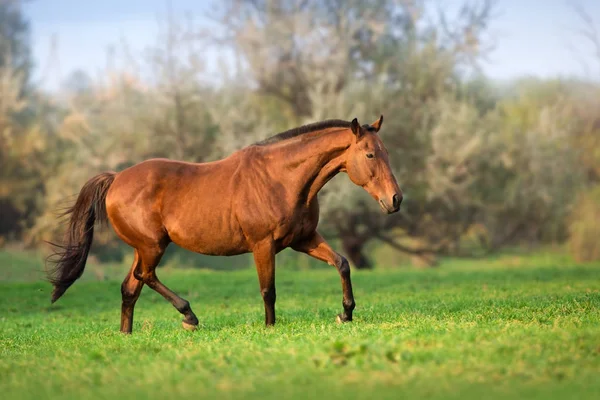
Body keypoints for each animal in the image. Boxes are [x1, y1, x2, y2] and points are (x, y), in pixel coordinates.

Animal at [48, 116, 404, 334]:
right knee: (144, 277)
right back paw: (189, 316)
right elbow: (268, 289)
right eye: (370, 155)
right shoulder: (263, 244)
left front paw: (346, 313)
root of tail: (116, 178)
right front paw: (270, 327)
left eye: (387, 152)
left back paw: (127, 335)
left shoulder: (303, 239)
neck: (281, 179)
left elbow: (342, 263)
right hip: (152, 246)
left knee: (130, 288)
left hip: (143, 247)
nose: (396, 199)